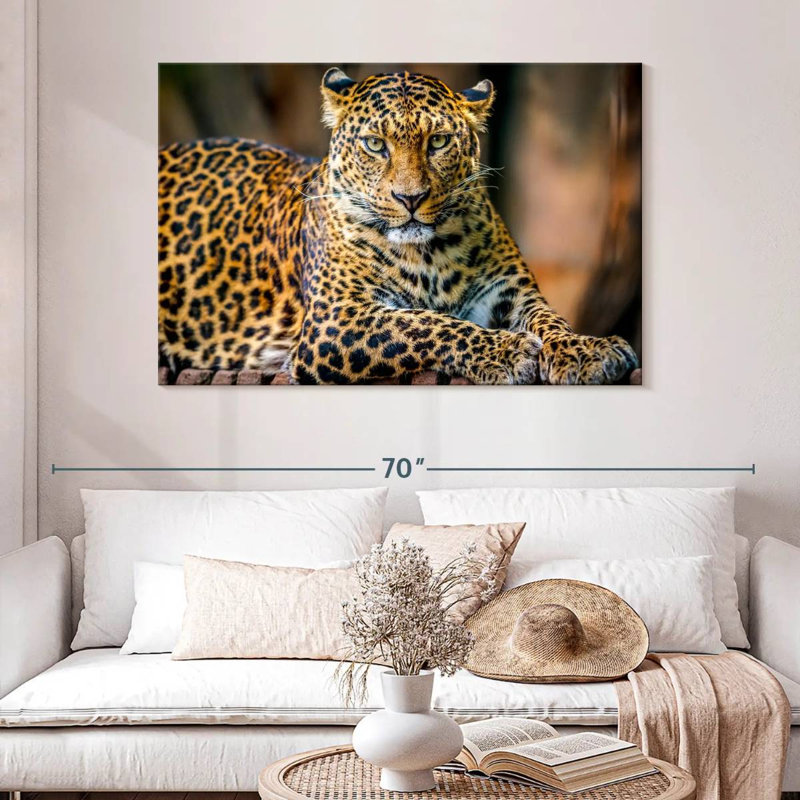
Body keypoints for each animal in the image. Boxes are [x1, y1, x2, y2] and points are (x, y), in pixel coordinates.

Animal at [158, 67, 639, 384]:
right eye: (375, 144)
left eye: (439, 141)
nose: (410, 199)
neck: (431, 253)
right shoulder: (335, 320)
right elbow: (424, 324)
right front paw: (506, 350)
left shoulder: (510, 292)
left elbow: (550, 320)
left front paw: (588, 350)